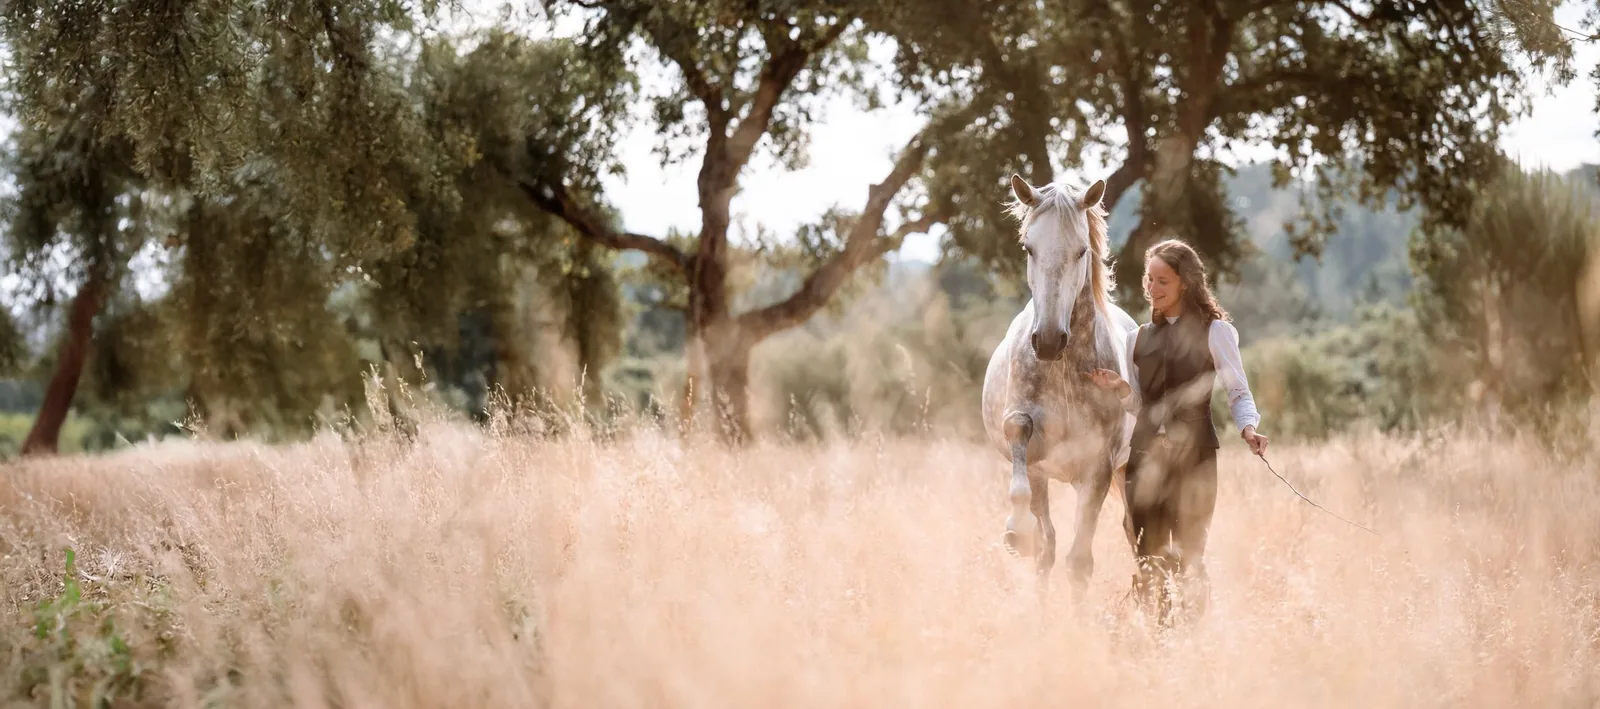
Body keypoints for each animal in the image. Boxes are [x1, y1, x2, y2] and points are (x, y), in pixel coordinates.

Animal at [980, 173, 1140, 598]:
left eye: (1082, 250)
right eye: (1028, 247)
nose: (1049, 341)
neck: (1064, 371)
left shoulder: (1097, 470)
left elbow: (1079, 563)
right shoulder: (1030, 451)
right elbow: (1018, 432)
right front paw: (1016, 532)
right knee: (1046, 547)